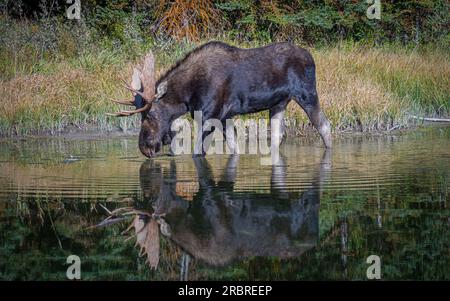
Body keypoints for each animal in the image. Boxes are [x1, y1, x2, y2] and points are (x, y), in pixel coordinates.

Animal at [108, 41, 332, 157]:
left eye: (151, 114)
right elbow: (234, 147)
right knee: (279, 134)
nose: (144, 147)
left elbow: (198, 151)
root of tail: (311, 56)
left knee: (324, 125)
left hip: (307, 94)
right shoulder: (225, 116)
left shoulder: (210, 116)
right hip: (278, 103)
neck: (187, 96)